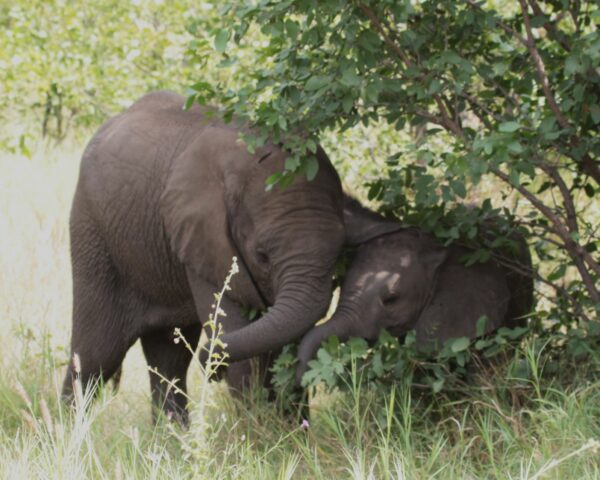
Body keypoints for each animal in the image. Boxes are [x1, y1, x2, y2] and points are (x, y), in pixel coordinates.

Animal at [63, 91, 344, 424]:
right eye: (261, 256)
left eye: (339, 251)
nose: (210, 368)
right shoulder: (204, 239)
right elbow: (238, 342)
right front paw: (261, 432)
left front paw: (294, 429)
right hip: (93, 234)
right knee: (97, 354)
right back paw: (66, 430)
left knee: (168, 357)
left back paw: (172, 436)